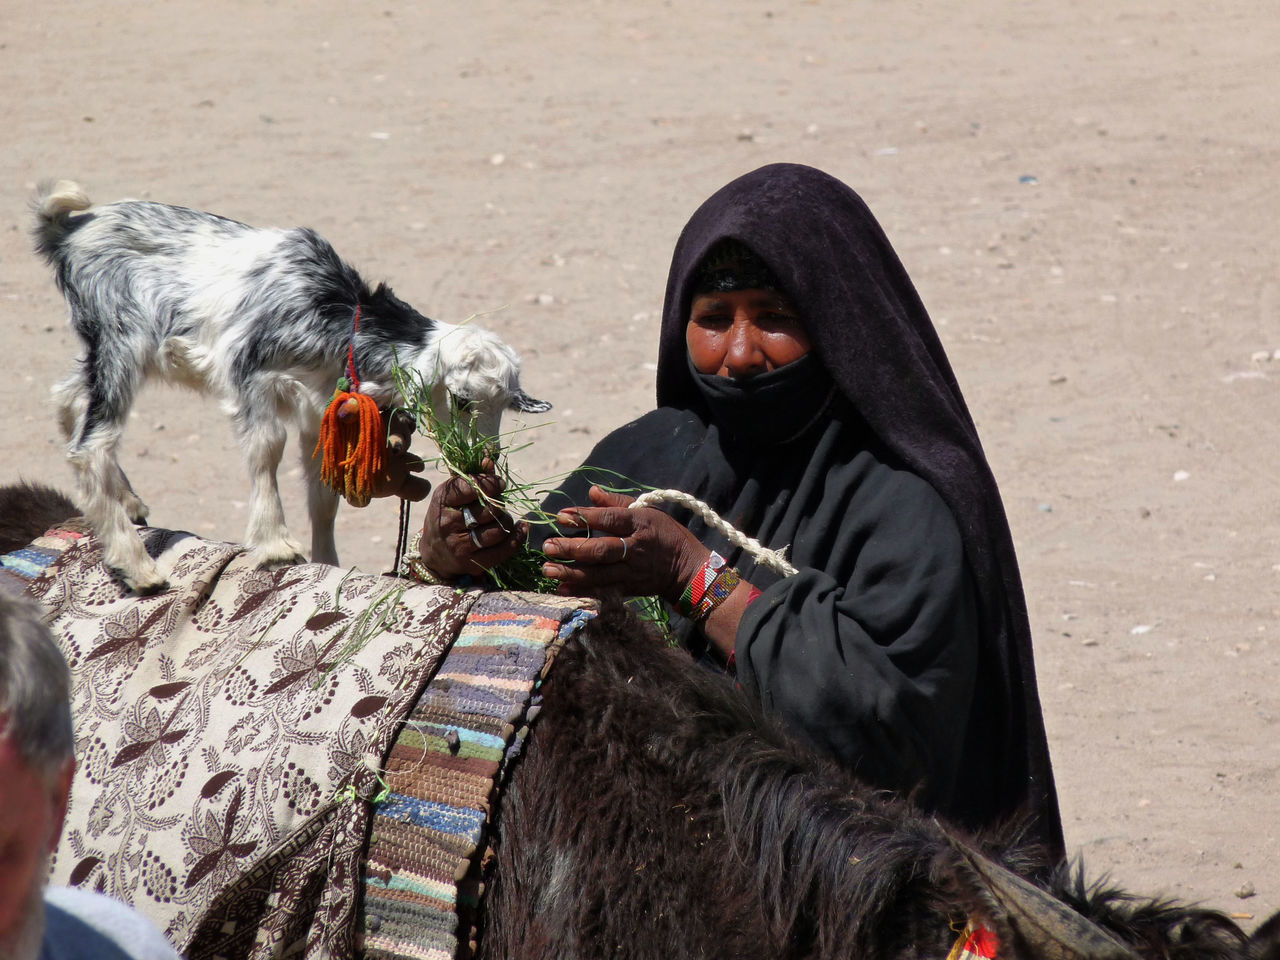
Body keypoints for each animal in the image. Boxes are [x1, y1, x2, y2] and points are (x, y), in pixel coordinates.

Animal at [32, 180, 547, 593]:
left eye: (506, 406)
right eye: (460, 400)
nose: (485, 458)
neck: (334, 312)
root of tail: (71, 230)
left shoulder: (317, 410)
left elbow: (323, 494)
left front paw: (327, 564)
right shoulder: (251, 377)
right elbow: (266, 449)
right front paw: (275, 542)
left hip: (110, 350)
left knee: (67, 398)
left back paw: (128, 503)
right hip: (122, 339)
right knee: (91, 445)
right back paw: (137, 566)